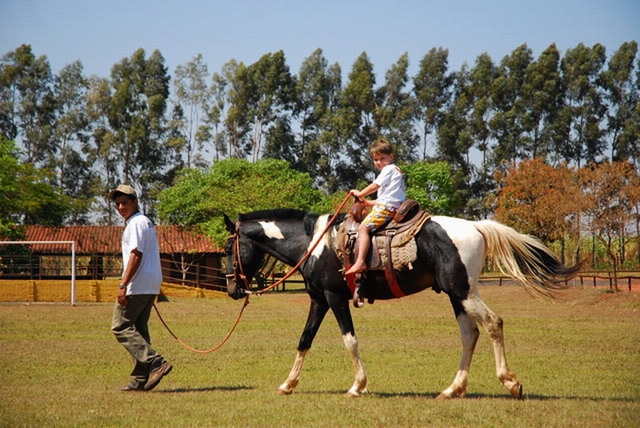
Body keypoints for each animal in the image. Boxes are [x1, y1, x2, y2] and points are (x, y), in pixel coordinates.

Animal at [222, 209, 584, 400]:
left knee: (494, 323)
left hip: (463, 291)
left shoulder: (336, 298)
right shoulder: (318, 300)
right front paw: (288, 384)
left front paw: (358, 386)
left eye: (228, 249)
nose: (232, 289)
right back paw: (452, 389)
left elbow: (349, 340)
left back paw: (510, 382)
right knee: (470, 335)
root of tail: (475, 227)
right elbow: (304, 340)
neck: (315, 244)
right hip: (456, 295)